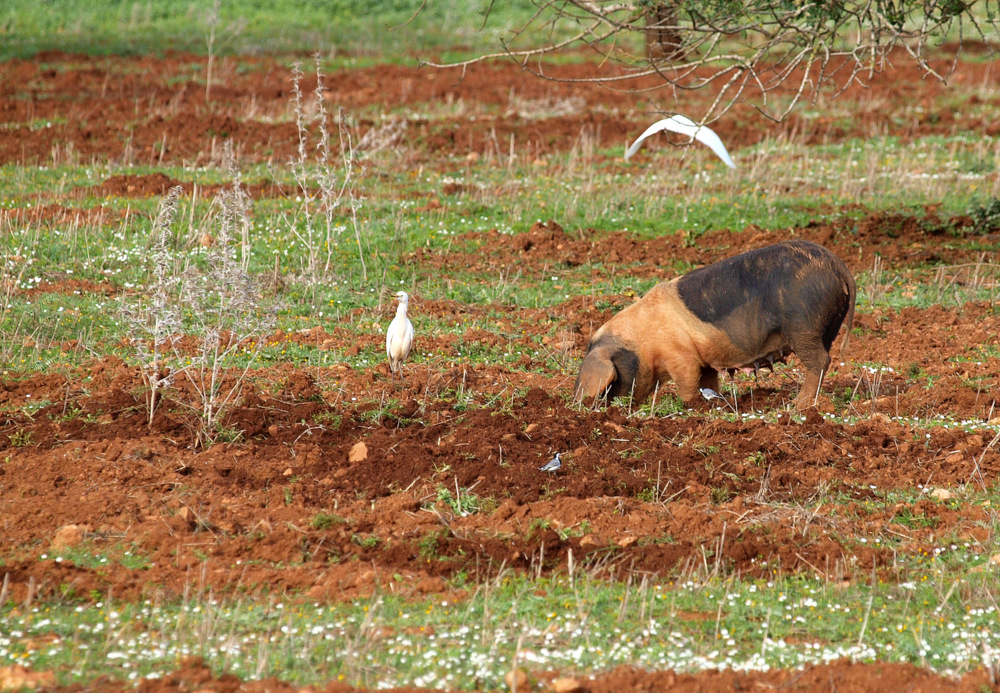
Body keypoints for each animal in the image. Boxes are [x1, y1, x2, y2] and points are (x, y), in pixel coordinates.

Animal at [576, 241, 856, 408]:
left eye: (612, 383)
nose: (610, 407)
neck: (642, 343)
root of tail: (837, 264)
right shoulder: (705, 361)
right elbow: (709, 381)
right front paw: (716, 402)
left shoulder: (680, 356)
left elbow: (687, 382)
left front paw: (692, 406)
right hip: (825, 326)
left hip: (802, 324)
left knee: (819, 361)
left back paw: (796, 404)